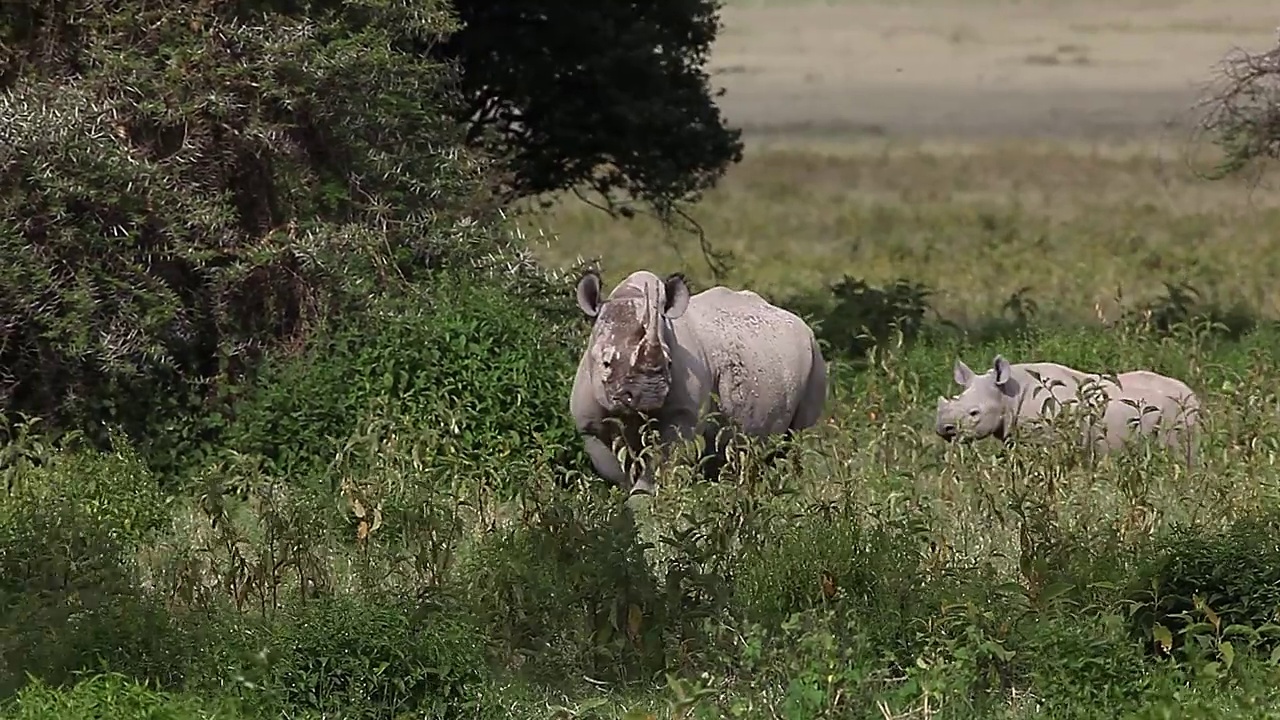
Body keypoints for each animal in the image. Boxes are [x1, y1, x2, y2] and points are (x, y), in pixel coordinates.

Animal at [570, 269, 829, 491]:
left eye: (669, 364)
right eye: (605, 363)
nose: (648, 394)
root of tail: (803, 325)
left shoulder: (684, 414)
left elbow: (661, 466)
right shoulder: (589, 425)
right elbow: (614, 470)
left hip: (814, 357)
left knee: (795, 439)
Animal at [931, 353, 1198, 461]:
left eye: (974, 413)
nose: (944, 428)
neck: (1007, 393)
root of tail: (1193, 394)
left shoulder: (1045, 437)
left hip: (1181, 411)